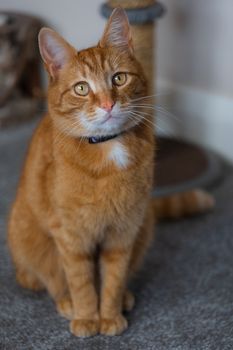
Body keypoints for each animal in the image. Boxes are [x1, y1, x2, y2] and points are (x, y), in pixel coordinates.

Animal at [7, 7, 215, 336]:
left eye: (118, 79)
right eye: (82, 88)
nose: (107, 104)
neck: (108, 149)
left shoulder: (122, 234)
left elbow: (114, 279)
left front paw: (109, 315)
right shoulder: (72, 237)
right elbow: (81, 281)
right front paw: (87, 316)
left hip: (145, 225)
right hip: (27, 237)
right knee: (42, 277)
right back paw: (65, 301)